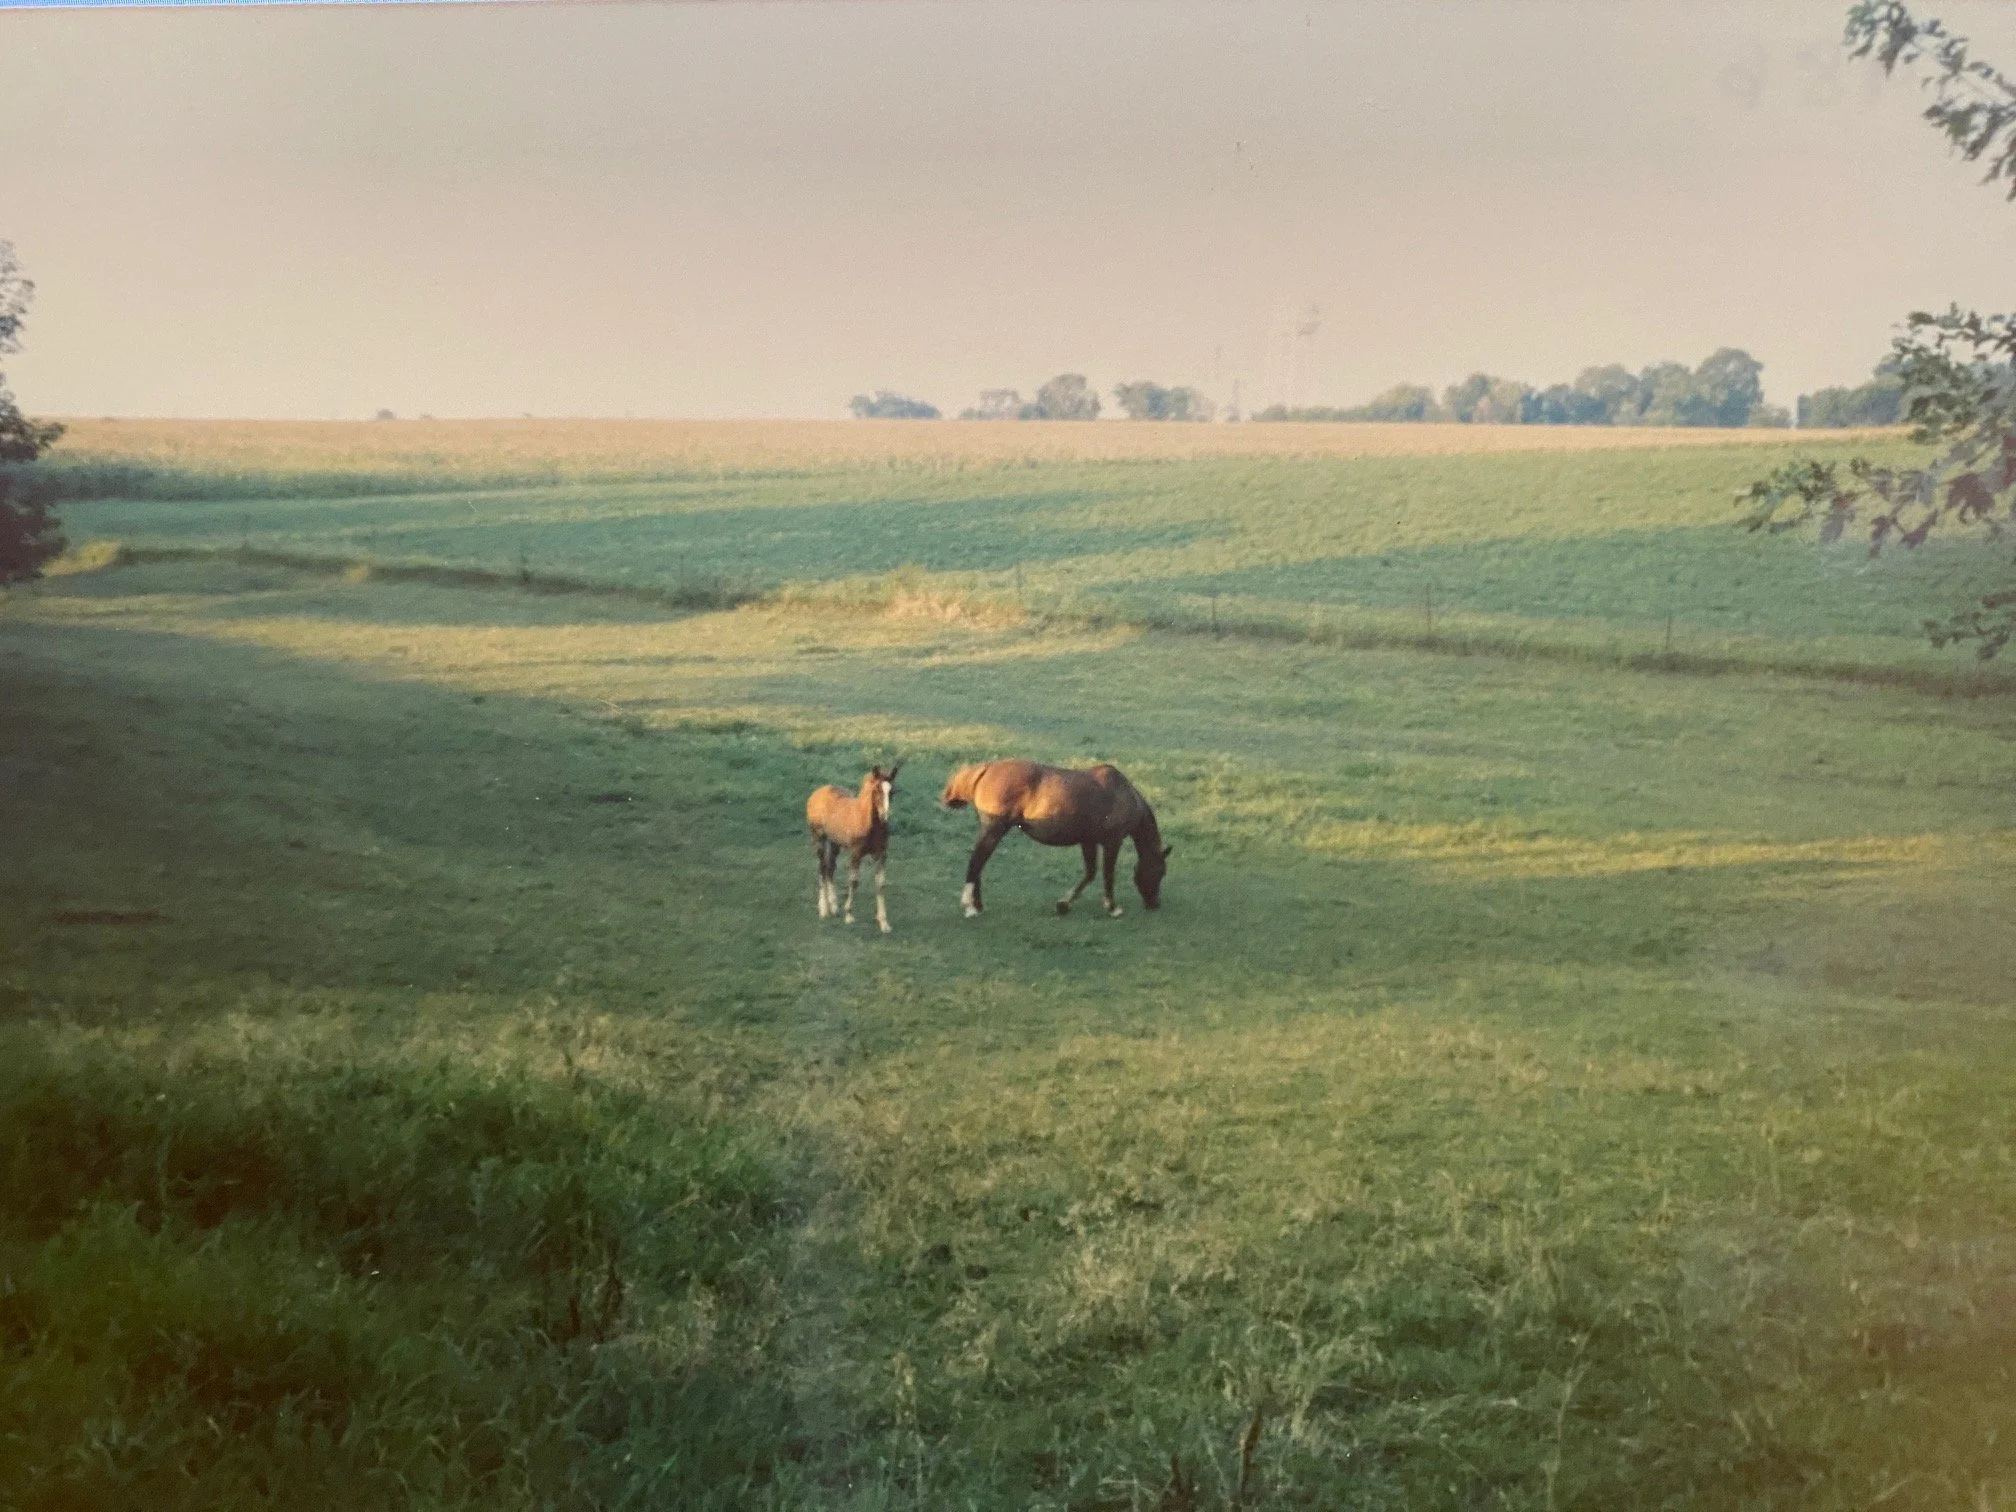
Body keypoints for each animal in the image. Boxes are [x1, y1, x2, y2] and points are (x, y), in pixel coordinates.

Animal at [806, 764, 900, 933]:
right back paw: (823, 909)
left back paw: (833, 906)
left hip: (834, 843)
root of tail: (817, 793)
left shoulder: (882, 855)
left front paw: (884, 922)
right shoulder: (856, 854)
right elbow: (854, 881)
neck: (867, 822)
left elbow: (880, 883)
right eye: (876, 790)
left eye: (892, 791)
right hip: (819, 839)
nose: (885, 816)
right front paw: (849, 915)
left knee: (830, 868)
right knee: (822, 869)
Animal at [939, 760, 1170, 918]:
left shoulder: (1088, 841)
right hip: (994, 830)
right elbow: (1107, 875)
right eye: (1160, 871)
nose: (1155, 903)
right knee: (976, 862)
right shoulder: (1112, 843)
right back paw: (970, 907)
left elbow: (1090, 873)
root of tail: (987, 768)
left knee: (978, 864)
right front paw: (1112, 908)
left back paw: (977, 906)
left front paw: (1064, 904)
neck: (1125, 795)